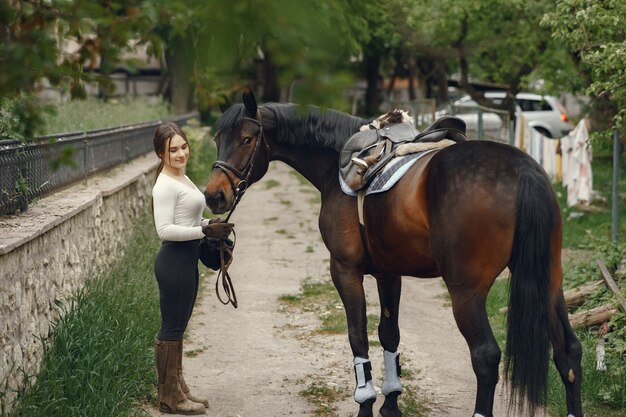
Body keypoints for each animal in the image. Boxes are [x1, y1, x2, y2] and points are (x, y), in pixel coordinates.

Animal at [204, 89, 580, 414]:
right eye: (217, 139)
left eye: (247, 139)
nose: (214, 195)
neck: (336, 163)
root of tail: (521, 169)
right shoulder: (388, 273)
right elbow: (389, 333)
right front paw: (391, 402)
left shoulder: (344, 270)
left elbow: (357, 335)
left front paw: (366, 403)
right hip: (548, 283)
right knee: (569, 352)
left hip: (466, 293)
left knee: (486, 357)